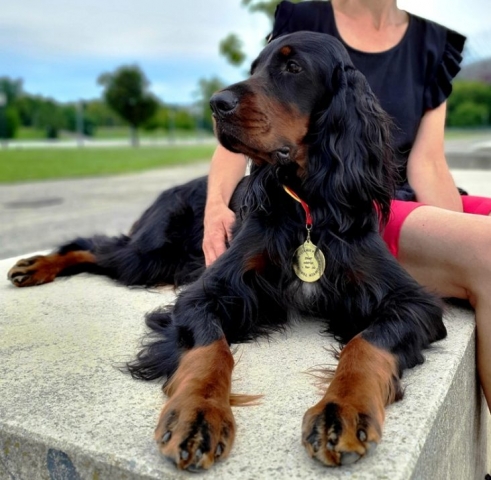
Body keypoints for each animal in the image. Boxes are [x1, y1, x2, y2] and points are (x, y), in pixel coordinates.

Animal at [7, 31, 446, 470]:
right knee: (91, 247)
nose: (217, 103)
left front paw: (344, 411)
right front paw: (198, 415)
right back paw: (34, 265)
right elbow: (210, 350)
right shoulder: (207, 291)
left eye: (293, 67)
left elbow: (366, 344)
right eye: (254, 67)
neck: (307, 207)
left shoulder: (408, 300)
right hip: (150, 255)